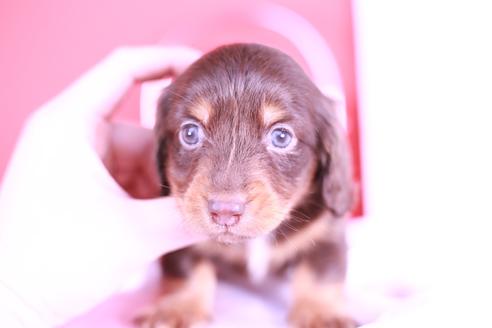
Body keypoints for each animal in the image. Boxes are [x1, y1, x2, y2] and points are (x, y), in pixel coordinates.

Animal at [136, 43, 356, 328]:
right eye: (190, 133)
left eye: (281, 136)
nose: (225, 211)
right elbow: (186, 268)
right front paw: (178, 307)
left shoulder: (325, 233)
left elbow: (320, 272)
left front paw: (321, 312)